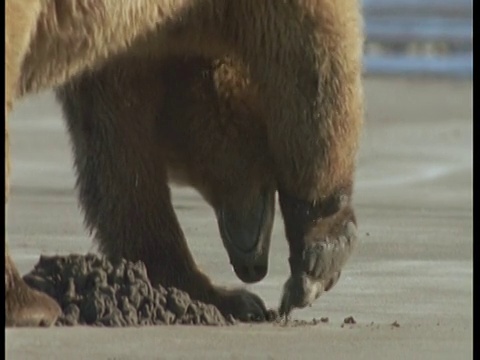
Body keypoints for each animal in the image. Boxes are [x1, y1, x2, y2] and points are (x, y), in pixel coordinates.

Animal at [4, 0, 364, 326]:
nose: (251, 267)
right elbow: (309, 44)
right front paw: (314, 261)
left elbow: (114, 149)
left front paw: (201, 292)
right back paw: (32, 305)